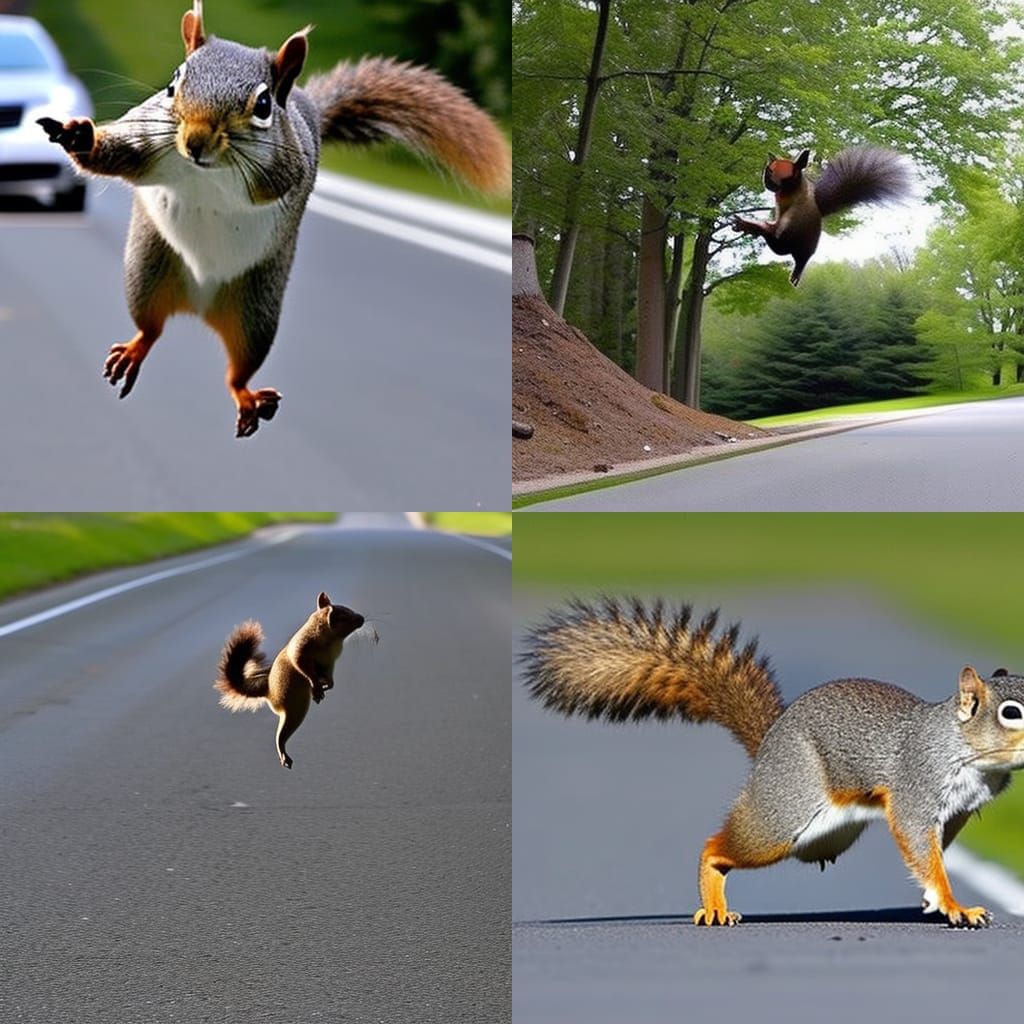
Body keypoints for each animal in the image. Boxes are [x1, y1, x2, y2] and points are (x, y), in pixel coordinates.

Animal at [37, 1, 512, 437]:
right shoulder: (149, 139)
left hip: (257, 313)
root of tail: (199, 305)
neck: (205, 169)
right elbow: (116, 156)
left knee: (237, 370)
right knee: (150, 329)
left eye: (264, 104)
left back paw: (247, 397)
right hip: (148, 270)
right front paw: (79, 135)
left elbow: (277, 183)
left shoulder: (292, 162)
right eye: (173, 84)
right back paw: (135, 351)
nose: (196, 141)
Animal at [215, 591, 364, 768]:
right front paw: (316, 685)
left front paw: (324, 686)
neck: (330, 640)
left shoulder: (329, 664)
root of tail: (268, 691)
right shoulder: (300, 651)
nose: (362, 618)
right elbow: (303, 668)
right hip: (294, 710)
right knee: (281, 736)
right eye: (345, 615)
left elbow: (329, 678)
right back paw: (284, 755)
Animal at [522, 596, 1024, 928]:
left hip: (825, 834)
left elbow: (933, 851)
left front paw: (933, 899)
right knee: (717, 848)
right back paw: (715, 903)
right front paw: (956, 905)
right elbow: (921, 844)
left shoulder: (958, 810)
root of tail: (769, 745)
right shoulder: (916, 786)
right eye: (1011, 713)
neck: (966, 747)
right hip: (786, 814)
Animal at [732, 147, 911, 285]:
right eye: (769, 168)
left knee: (798, 256)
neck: (786, 193)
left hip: (801, 241)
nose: (767, 179)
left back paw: (794, 273)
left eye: (788, 173)